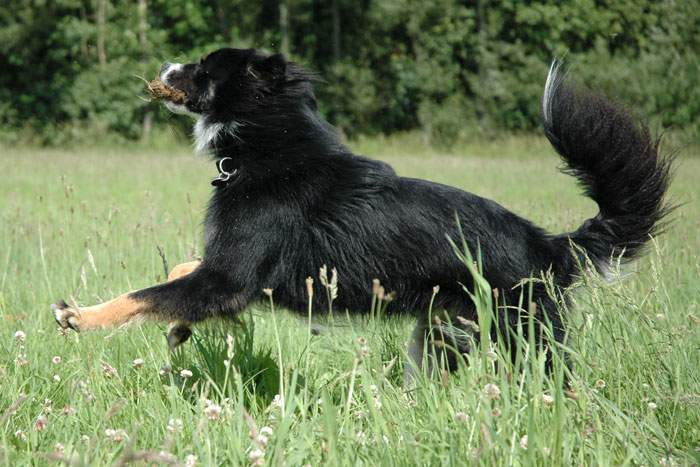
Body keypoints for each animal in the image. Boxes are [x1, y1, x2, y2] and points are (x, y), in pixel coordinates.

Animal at [52, 49, 668, 380]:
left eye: (203, 69)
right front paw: (181, 327)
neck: (266, 142)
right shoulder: (231, 275)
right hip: (441, 336)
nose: (165, 63)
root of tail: (550, 244)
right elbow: (180, 274)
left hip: (522, 339)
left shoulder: (232, 275)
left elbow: (144, 293)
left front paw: (80, 316)